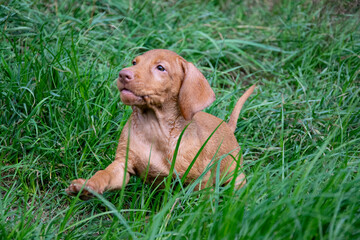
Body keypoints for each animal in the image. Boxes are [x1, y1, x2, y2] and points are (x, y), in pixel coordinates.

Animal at [65, 49, 256, 199]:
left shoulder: (201, 178)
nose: (123, 74)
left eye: (160, 68)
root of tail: (228, 127)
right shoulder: (123, 164)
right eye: (134, 62)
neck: (154, 128)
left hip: (235, 174)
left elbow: (200, 205)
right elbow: (104, 174)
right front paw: (87, 186)